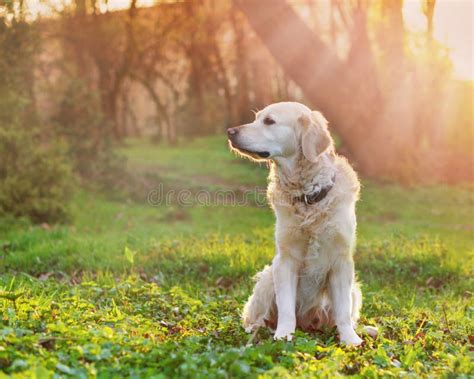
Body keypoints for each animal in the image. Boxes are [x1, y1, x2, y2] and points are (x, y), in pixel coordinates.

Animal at [228, 102, 364, 346]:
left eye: (269, 121)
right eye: (256, 118)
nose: (230, 132)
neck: (308, 196)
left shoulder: (341, 260)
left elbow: (343, 310)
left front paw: (350, 339)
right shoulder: (285, 260)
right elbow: (286, 307)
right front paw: (283, 334)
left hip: (355, 290)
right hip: (267, 278)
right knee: (257, 317)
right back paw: (255, 330)